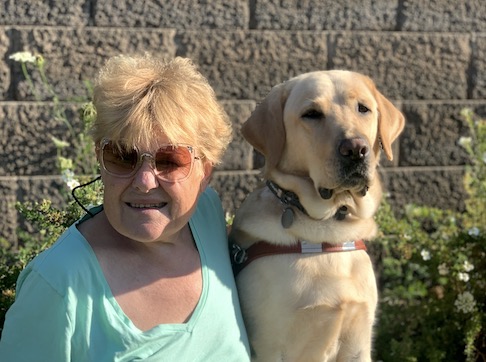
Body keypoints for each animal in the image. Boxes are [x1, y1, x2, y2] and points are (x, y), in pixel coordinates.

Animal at [230, 70, 404, 362]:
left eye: (363, 108)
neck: (329, 228)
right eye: (311, 114)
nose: (356, 149)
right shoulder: (269, 346)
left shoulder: (358, 343)